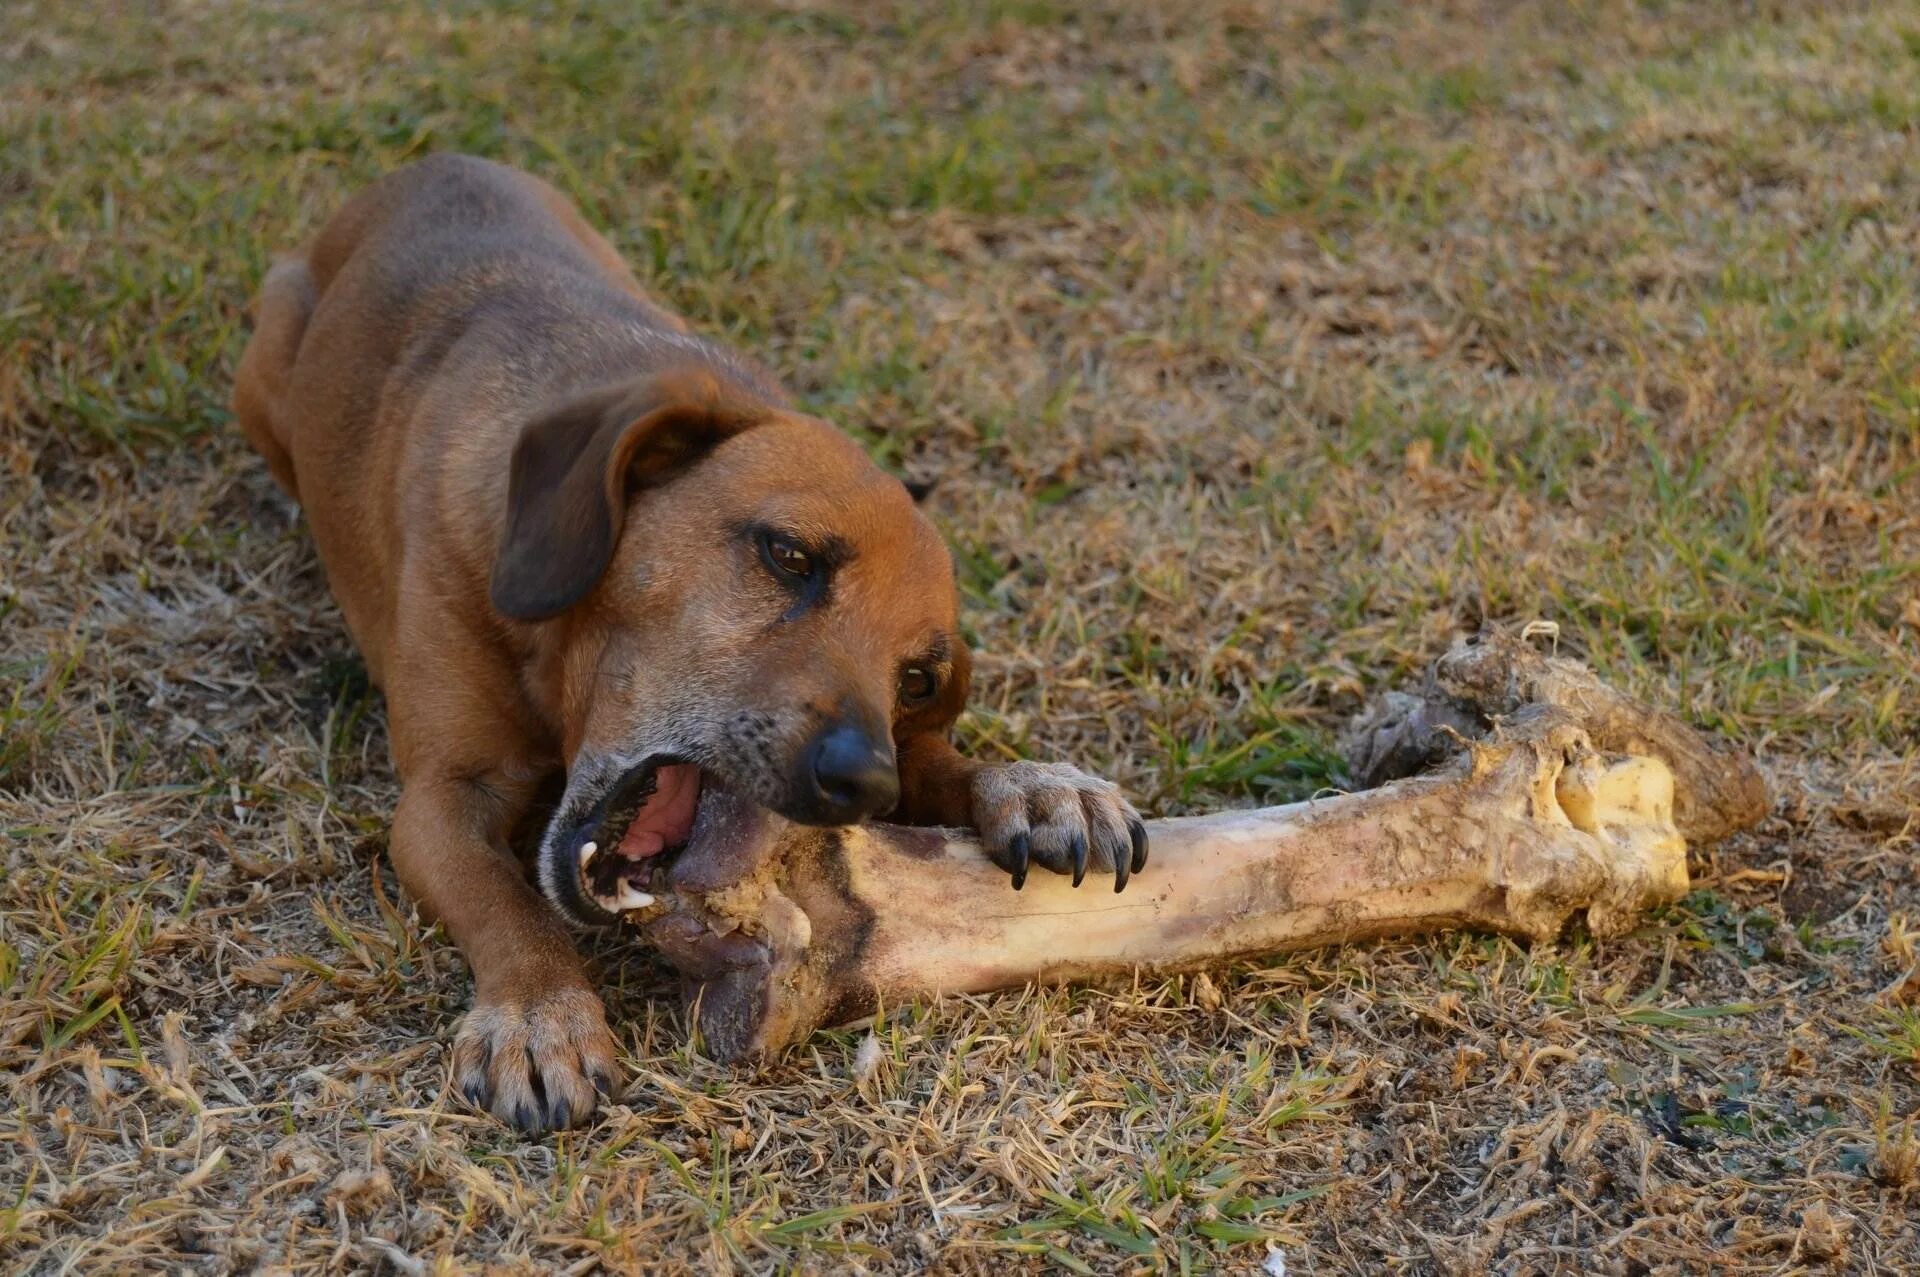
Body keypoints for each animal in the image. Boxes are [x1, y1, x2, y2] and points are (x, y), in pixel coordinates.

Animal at [232, 154, 1144, 1129]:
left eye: (916, 678)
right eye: (789, 555)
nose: (867, 783)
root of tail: (427, 166)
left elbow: (945, 764)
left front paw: (1034, 785)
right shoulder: (440, 798)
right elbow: (506, 901)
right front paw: (540, 1011)